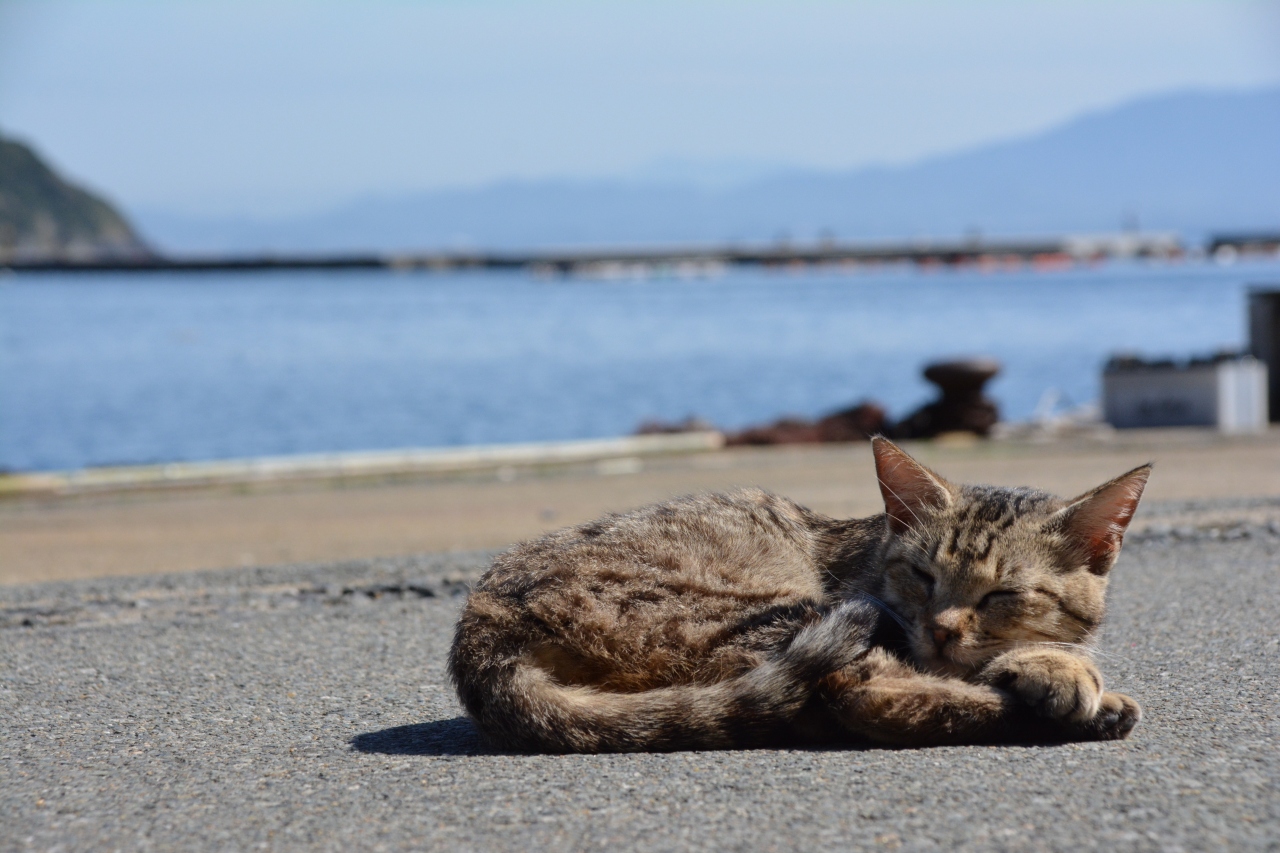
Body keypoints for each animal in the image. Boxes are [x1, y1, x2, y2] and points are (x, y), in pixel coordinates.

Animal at [450, 438, 1152, 753]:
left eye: (1004, 593)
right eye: (922, 575)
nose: (943, 627)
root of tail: (481, 632)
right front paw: (1060, 667)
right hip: (779, 614)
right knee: (863, 695)